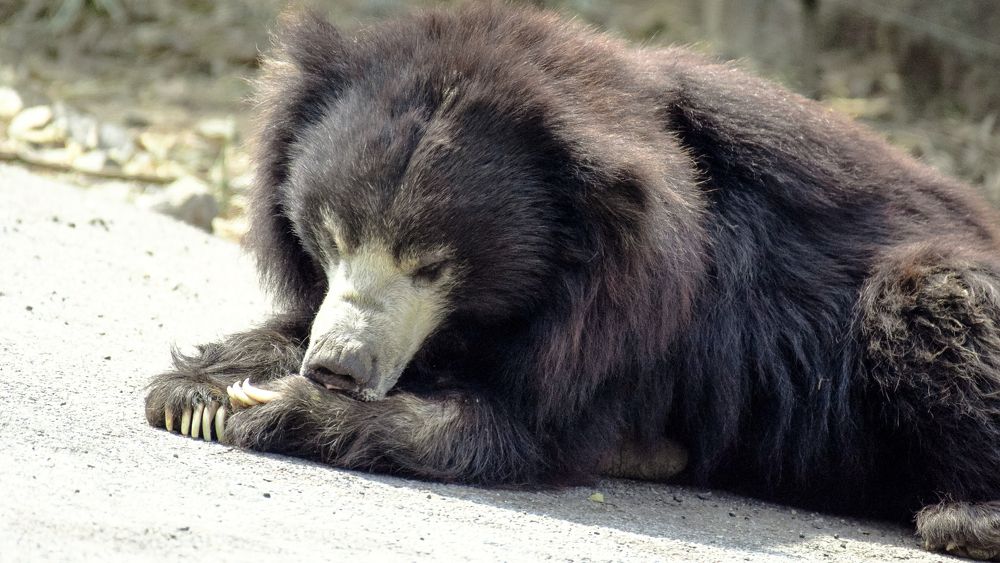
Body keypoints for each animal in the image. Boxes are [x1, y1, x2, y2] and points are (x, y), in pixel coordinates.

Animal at [144, 4, 1000, 559]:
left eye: (432, 263)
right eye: (333, 235)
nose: (338, 368)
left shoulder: (632, 328)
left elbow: (516, 428)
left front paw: (278, 406)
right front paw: (204, 388)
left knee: (927, 291)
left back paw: (965, 520)